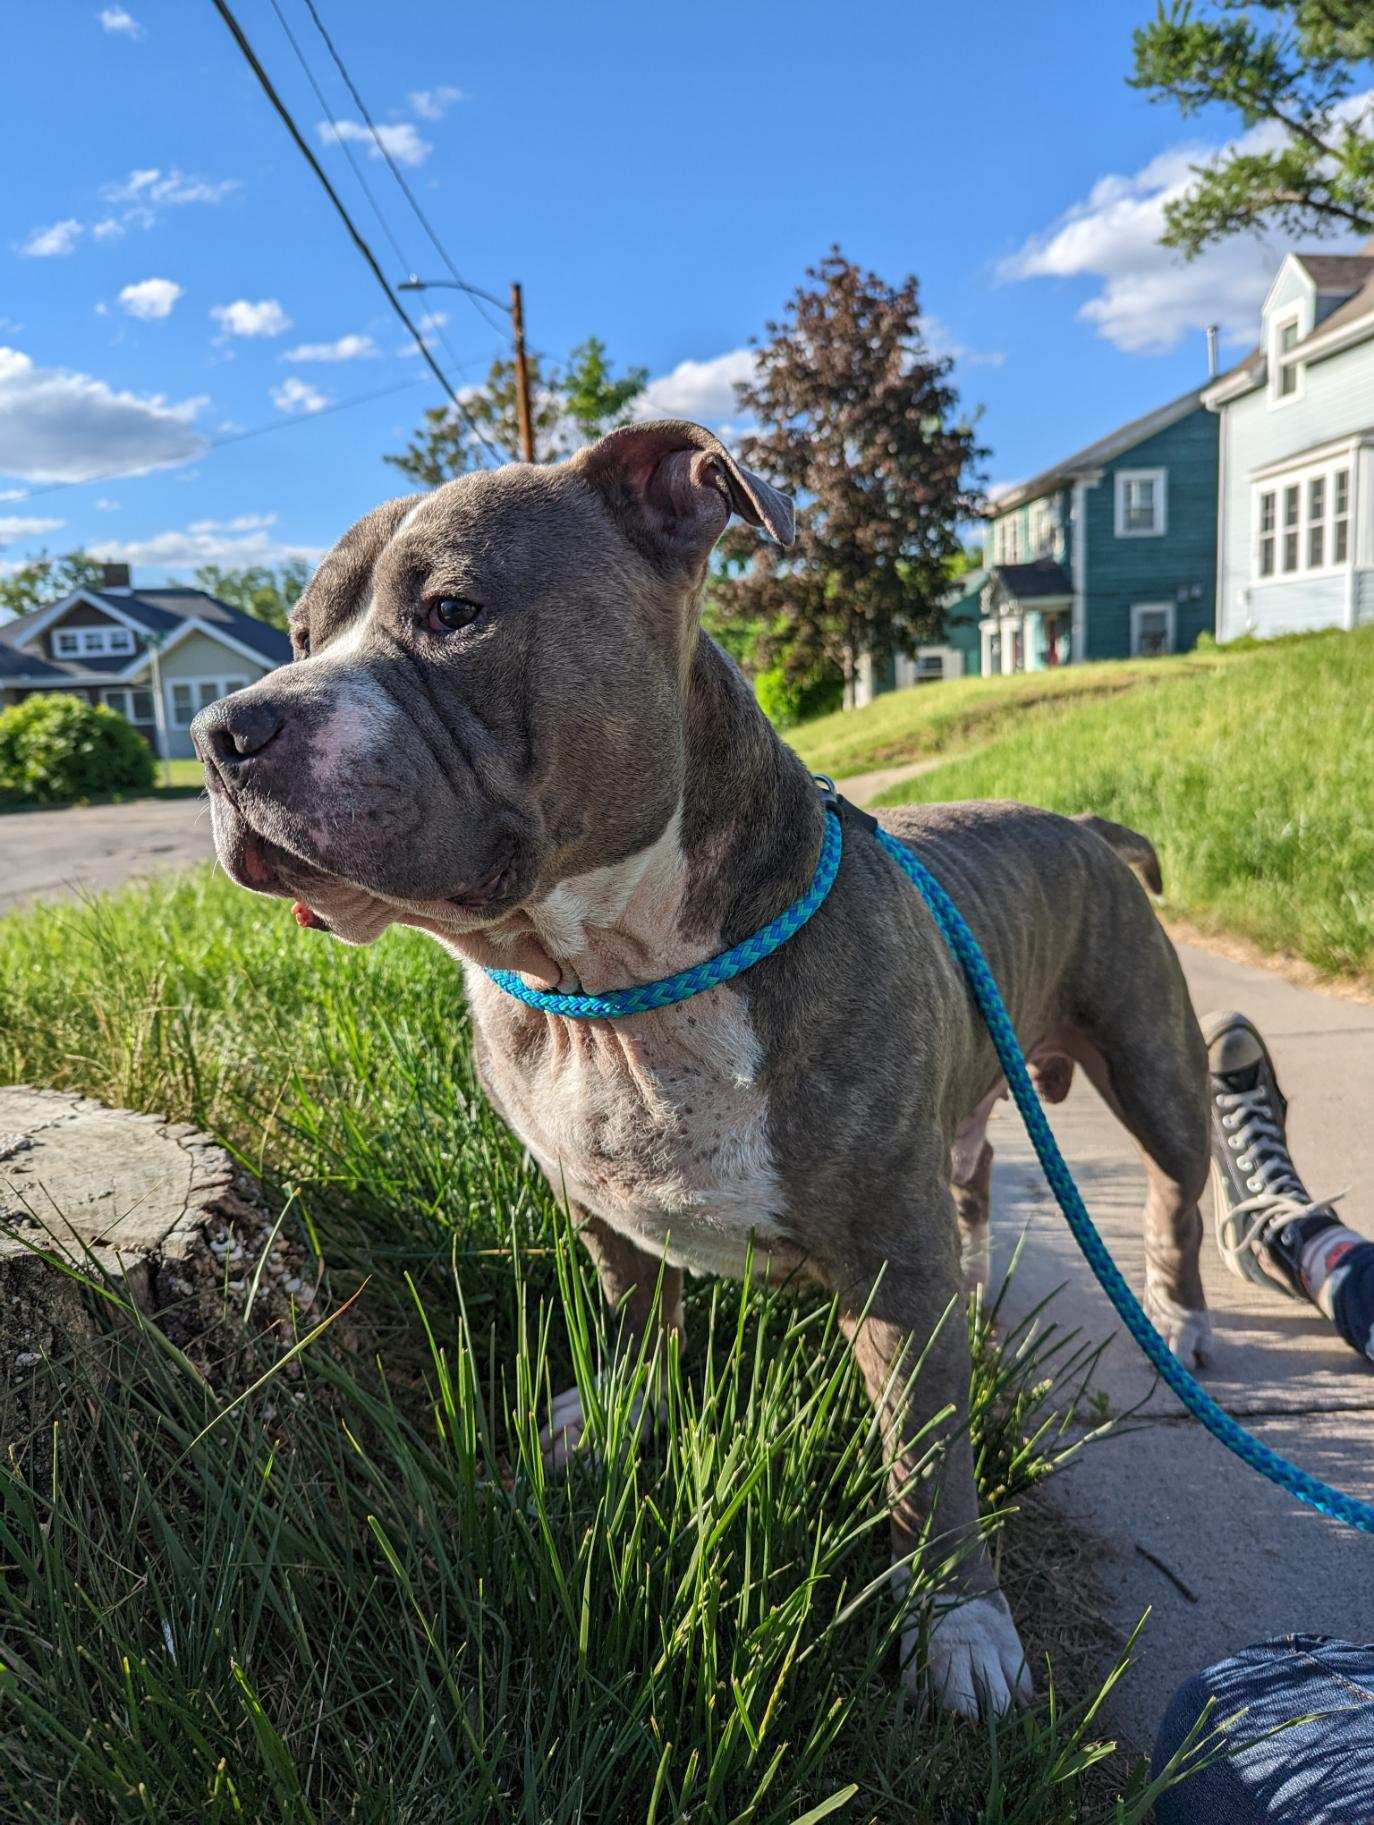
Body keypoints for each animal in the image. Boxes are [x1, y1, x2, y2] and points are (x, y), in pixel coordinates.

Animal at [195, 419, 1211, 1715]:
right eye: (298, 636)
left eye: (453, 611)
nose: (226, 730)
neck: (614, 984)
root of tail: (1086, 825)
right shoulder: (593, 1195)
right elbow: (636, 1318)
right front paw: (615, 1419)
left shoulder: (890, 1260)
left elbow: (924, 1458)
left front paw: (959, 1623)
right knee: (977, 1186)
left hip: (1154, 1063)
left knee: (1180, 1189)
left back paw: (1179, 1317)